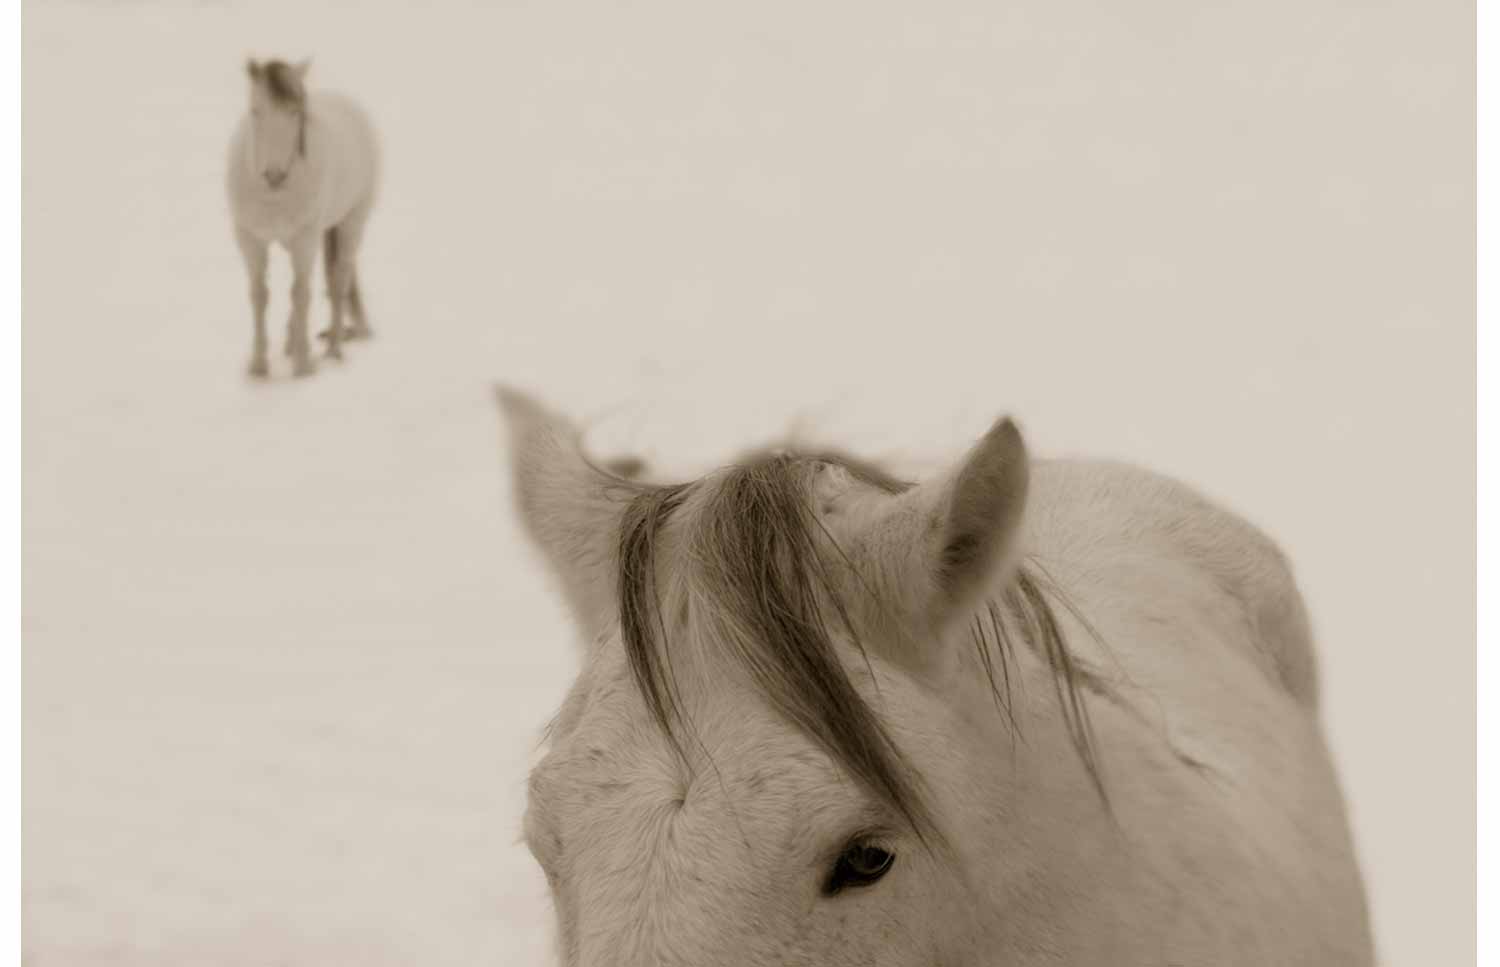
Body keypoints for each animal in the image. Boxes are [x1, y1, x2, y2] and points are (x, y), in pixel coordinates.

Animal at [228, 58, 384, 379]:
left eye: (294, 112)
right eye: (255, 110)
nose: (274, 176)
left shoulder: (304, 239)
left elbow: (300, 294)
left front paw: (303, 365)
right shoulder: (250, 240)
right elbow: (259, 295)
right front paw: (258, 366)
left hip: (351, 223)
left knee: (339, 279)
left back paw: (334, 348)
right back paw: (293, 342)